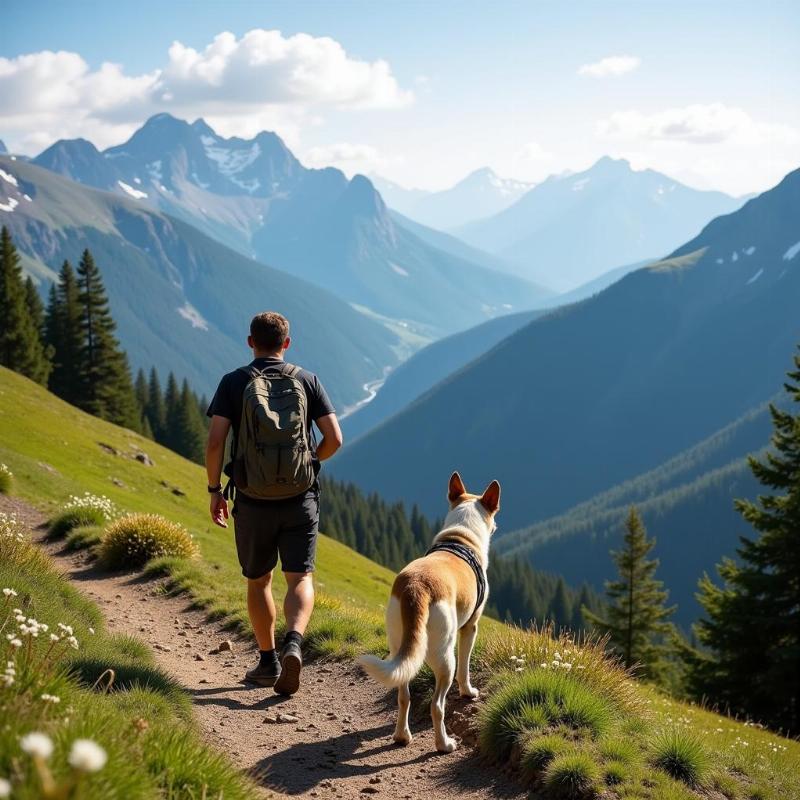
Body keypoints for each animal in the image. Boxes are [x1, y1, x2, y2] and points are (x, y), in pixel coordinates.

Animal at [358, 472, 496, 752]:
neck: (461, 537)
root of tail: (416, 587)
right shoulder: (471, 626)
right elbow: (466, 666)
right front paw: (468, 692)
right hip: (444, 656)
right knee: (437, 705)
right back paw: (444, 743)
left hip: (398, 645)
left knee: (403, 694)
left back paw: (402, 735)